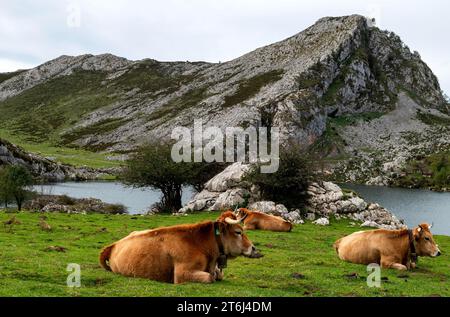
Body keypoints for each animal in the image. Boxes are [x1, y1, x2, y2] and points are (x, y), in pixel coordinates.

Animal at [96, 211, 262, 282]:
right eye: (238, 232)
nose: (254, 249)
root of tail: (115, 244)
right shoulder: (182, 273)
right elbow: (210, 277)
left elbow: (218, 275)